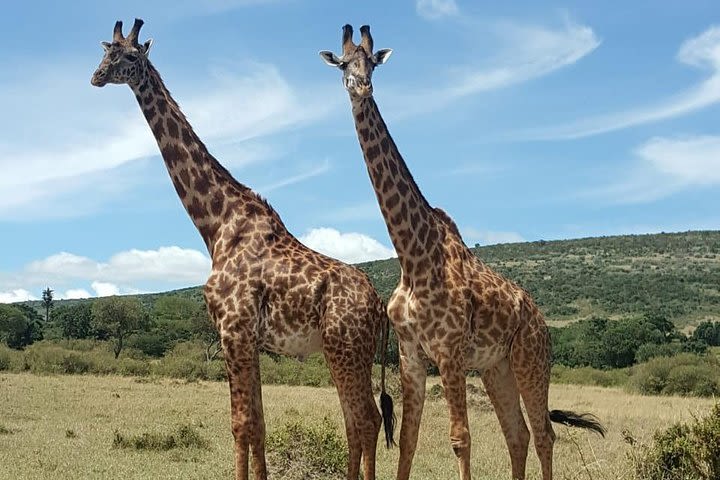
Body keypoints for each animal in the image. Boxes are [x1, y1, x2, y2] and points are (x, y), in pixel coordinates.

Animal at [90, 18, 396, 480]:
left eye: (127, 56)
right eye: (104, 52)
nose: (96, 76)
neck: (216, 224)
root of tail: (378, 304)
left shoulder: (232, 329)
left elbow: (240, 424)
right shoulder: (247, 338)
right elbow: (259, 425)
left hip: (345, 348)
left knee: (366, 419)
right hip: (344, 352)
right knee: (356, 421)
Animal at [320, 25, 600, 480]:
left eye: (373, 62)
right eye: (344, 63)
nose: (361, 86)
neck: (412, 255)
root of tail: (540, 319)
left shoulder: (449, 352)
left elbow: (460, 438)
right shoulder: (411, 355)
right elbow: (408, 441)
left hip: (531, 359)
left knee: (544, 434)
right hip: (495, 367)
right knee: (518, 434)